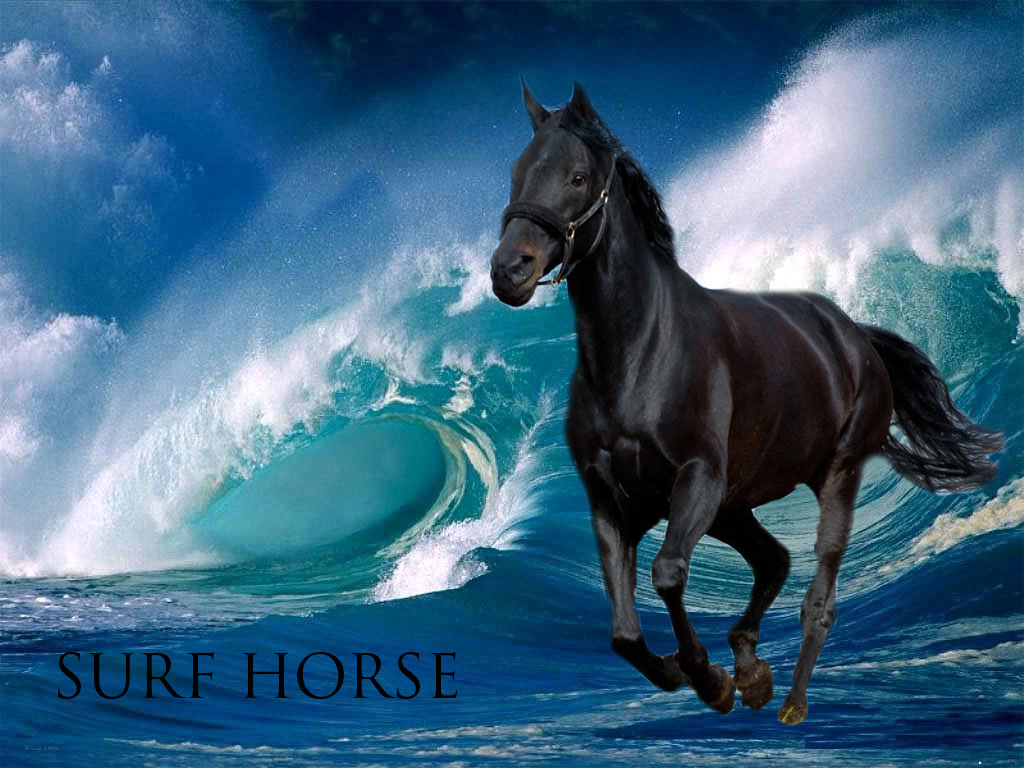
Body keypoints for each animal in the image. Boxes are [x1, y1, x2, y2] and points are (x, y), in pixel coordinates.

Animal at [489, 81, 1004, 724]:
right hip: (733, 506)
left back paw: (790, 701)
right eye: (516, 172)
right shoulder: (611, 501)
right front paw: (694, 673)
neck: (639, 352)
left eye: (578, 177)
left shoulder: (698, 479)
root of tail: (854, 333)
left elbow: (667, 574)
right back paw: (752, 670)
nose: (509, 270)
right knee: (774, 559)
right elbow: (624, 634)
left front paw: (709, 679)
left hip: (832, 476)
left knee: (817, 596)